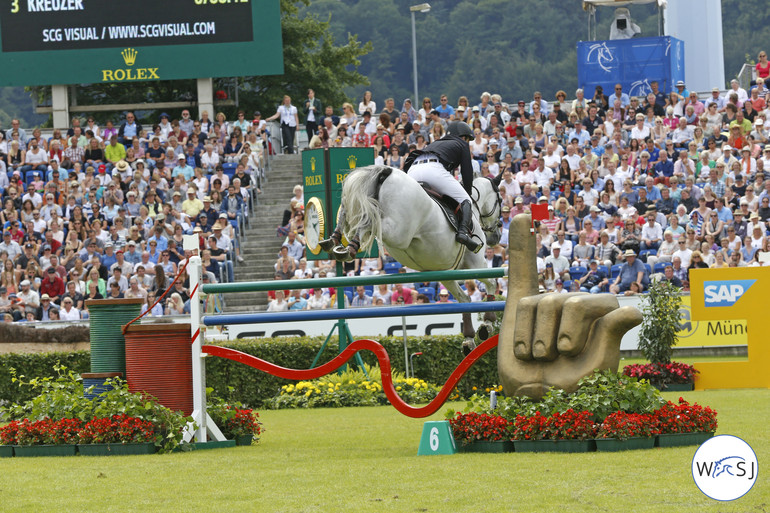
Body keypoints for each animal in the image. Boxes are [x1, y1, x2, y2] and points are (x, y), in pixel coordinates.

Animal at [340, 164, 500, 342]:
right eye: (499, 200)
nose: (495, 237)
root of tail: (385, 171)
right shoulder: (475, 262)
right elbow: (491, 283)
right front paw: (487, 323)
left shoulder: (444, 271)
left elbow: (464, 298)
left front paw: (469, 338)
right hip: (398, 231)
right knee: (368, 220)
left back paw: (339, 241)